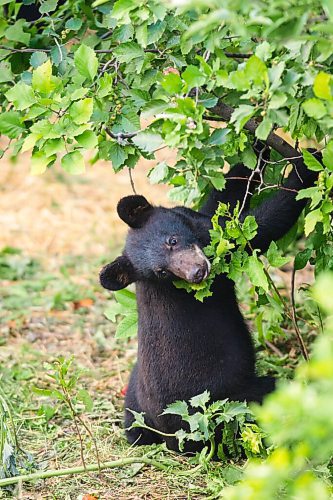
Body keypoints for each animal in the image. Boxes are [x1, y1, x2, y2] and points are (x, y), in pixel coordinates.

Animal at [100, 149, 318, 454]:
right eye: (162, 271)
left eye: (172, 240)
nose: (198, 272)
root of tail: (174, 438)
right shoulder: (225, 250)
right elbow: (258, 227)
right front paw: (308, 165)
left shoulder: (200, 221)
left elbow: (221, 197)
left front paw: (259, 146)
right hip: (234, 401)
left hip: (133, 399)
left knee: (134, 427)